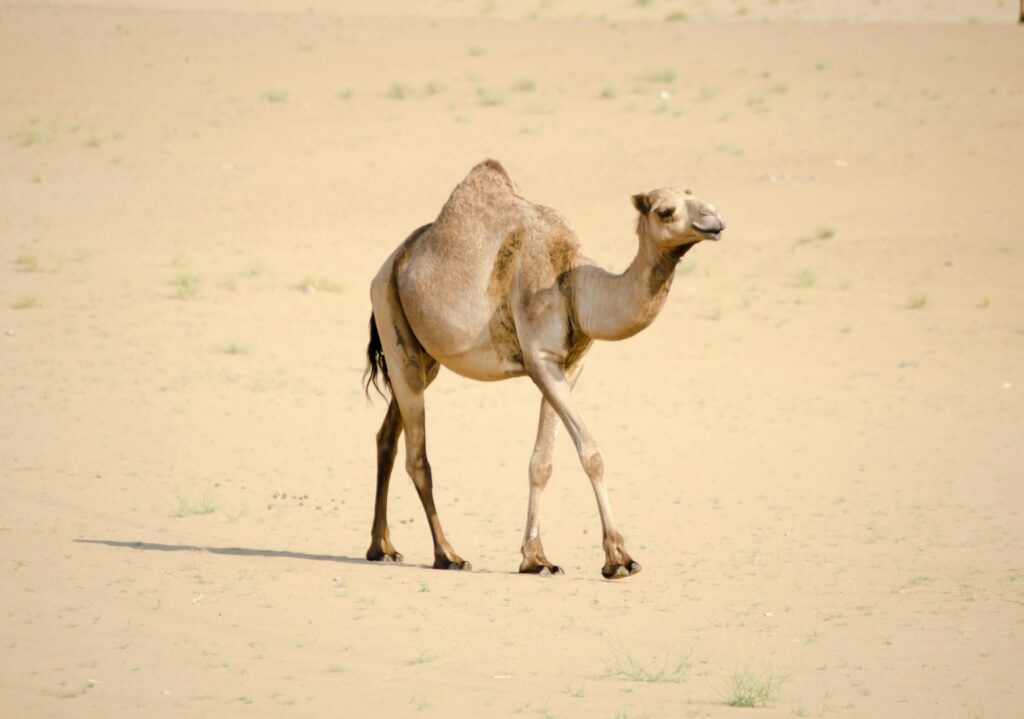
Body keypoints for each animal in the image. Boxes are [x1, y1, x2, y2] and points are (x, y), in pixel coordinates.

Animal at [364, 158, 724, 581]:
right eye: (666, 211)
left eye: (696, 197)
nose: (715, 220)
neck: (574, 284)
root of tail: (389, 264)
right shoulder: (541, 358)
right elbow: (591, 453)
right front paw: (619, 559)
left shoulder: (569, 365)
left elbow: (542, 463)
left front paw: (536, 559)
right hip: (391, 319)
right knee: (417, 457)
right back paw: (447, 554)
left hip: (423, 356)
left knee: (387, 436)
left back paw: (382, 547)